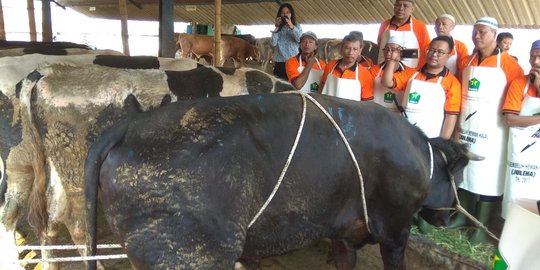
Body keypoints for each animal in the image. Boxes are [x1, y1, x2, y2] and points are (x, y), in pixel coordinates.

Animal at [85, 94, 472, 268]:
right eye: (458, 173)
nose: (453, 214)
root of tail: (130, 125)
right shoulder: (394, 229)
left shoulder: (345, 234)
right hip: (189, 254)